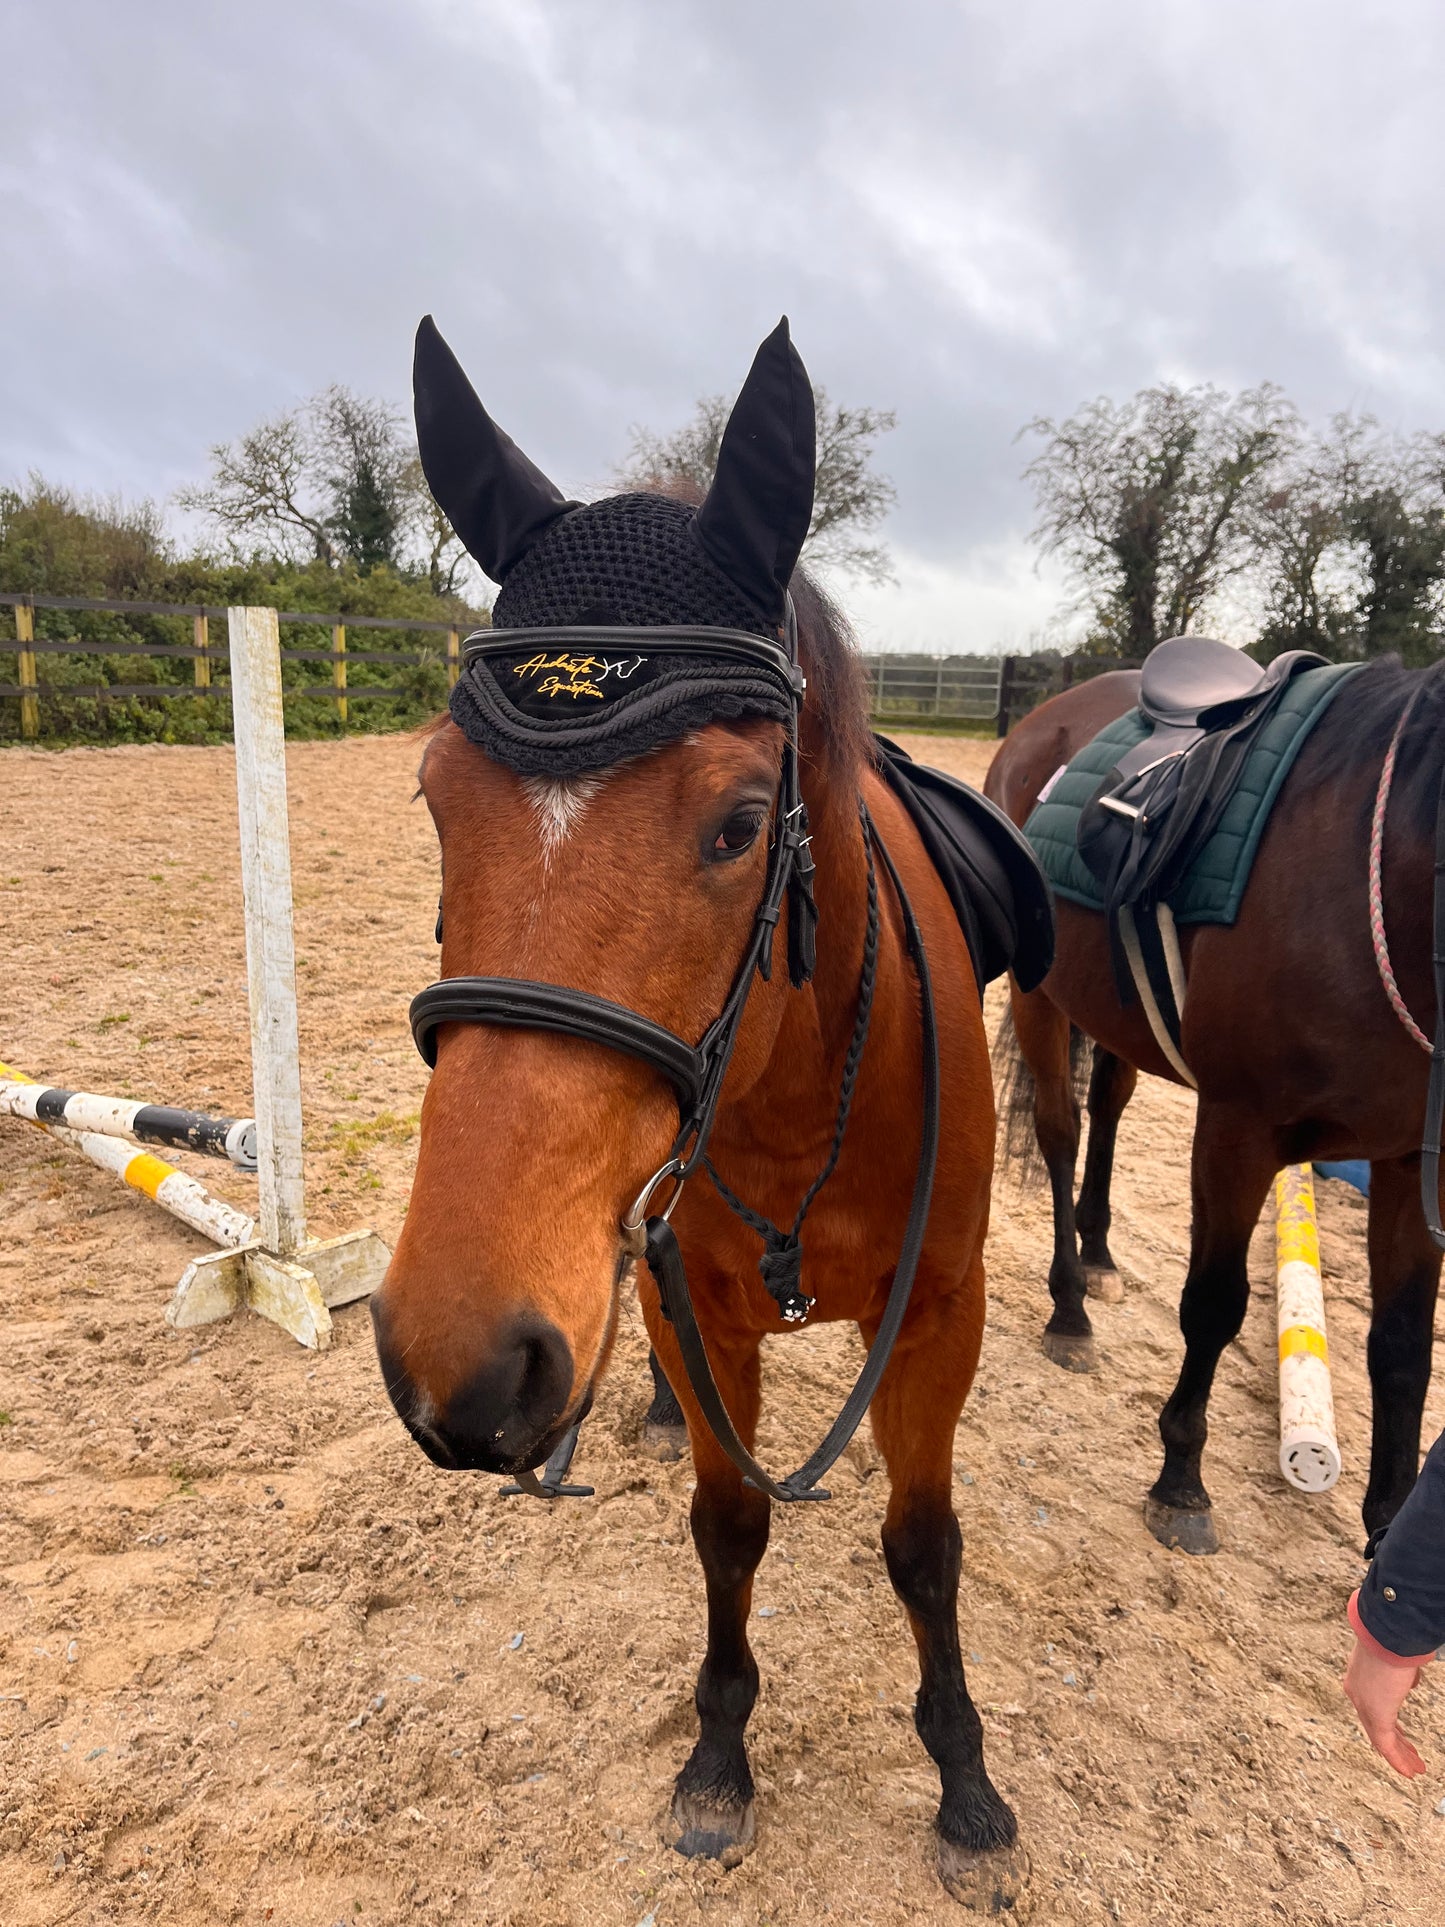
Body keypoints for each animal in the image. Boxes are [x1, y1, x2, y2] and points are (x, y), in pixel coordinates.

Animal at [373, 319, 1032, 1911]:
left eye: (738, 823)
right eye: (435, 800)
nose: (460, 1364)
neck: (801, 1096)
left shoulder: (943, 1312)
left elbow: (923, 1543)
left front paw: (965, 1785)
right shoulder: (694, 1306)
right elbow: (729, 1524)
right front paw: (718, 1757)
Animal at [994, 655, 1445, 1557]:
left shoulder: (1406, 1159)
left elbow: (1402, 1349)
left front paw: (1385, 1536)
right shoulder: (1237, 1131)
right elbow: (1212, 1303)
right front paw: (1179, 1480)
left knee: (1109, 1106)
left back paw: (1099, 1253)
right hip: (1039, 997)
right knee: (1061, 1134)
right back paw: (1068, 1306)